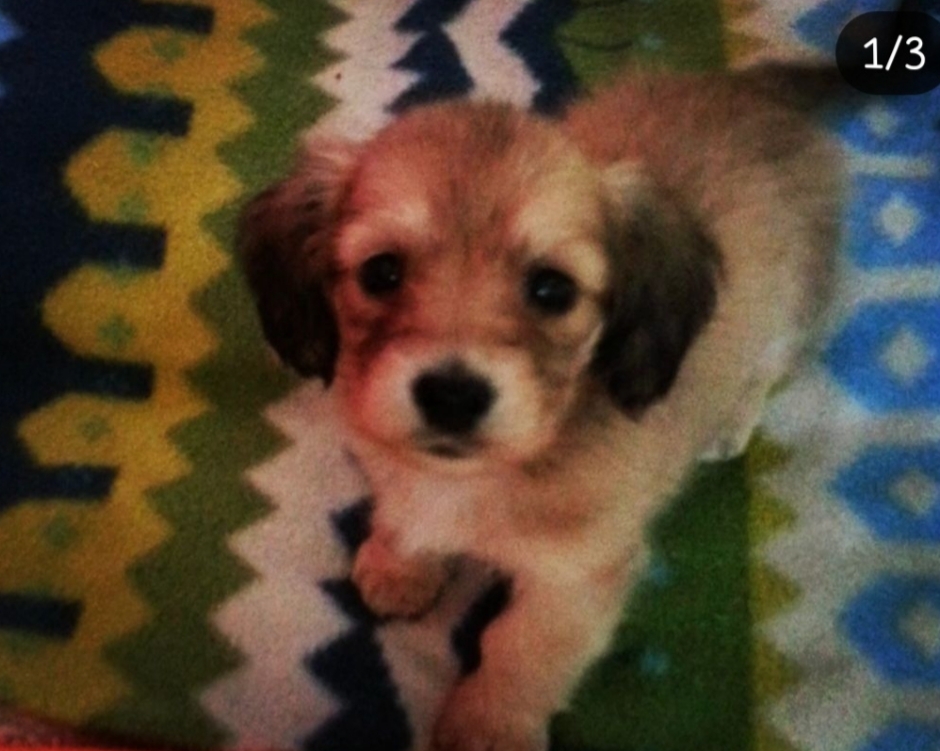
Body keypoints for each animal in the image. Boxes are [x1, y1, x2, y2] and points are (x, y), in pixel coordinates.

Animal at [239, 64, 845, 751]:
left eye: (552, 289)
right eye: (381, 272)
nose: (452, 394)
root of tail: (756, 90)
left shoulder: (573, 581)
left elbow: (519, 654)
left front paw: (485, 727)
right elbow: (402, 510)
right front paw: (400, 563)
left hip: (787, 319)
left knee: (768, 370)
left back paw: (731, 421)